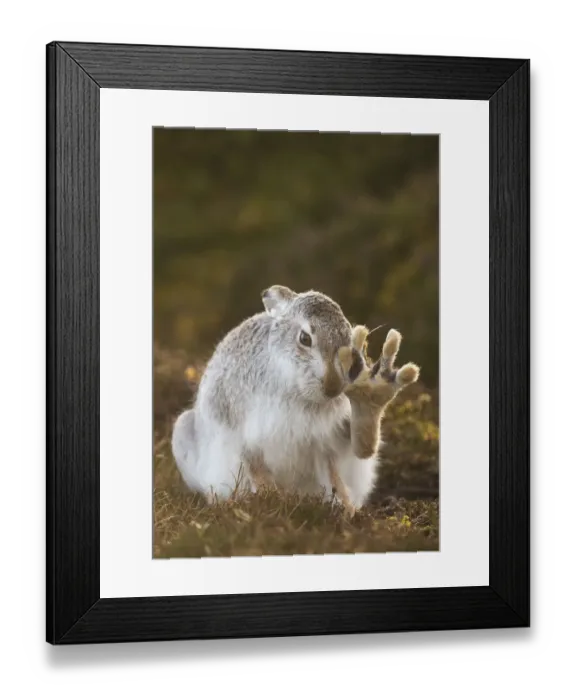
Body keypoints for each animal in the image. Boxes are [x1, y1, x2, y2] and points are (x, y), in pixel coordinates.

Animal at [171, 285, 420, 516]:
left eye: (350, 342)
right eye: (304, 338)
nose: (333, 387)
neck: (296, 387)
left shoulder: (327, 441)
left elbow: (355, 457)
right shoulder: (240, 428)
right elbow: (255, 468)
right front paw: (269, 499)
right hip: (182, 432)